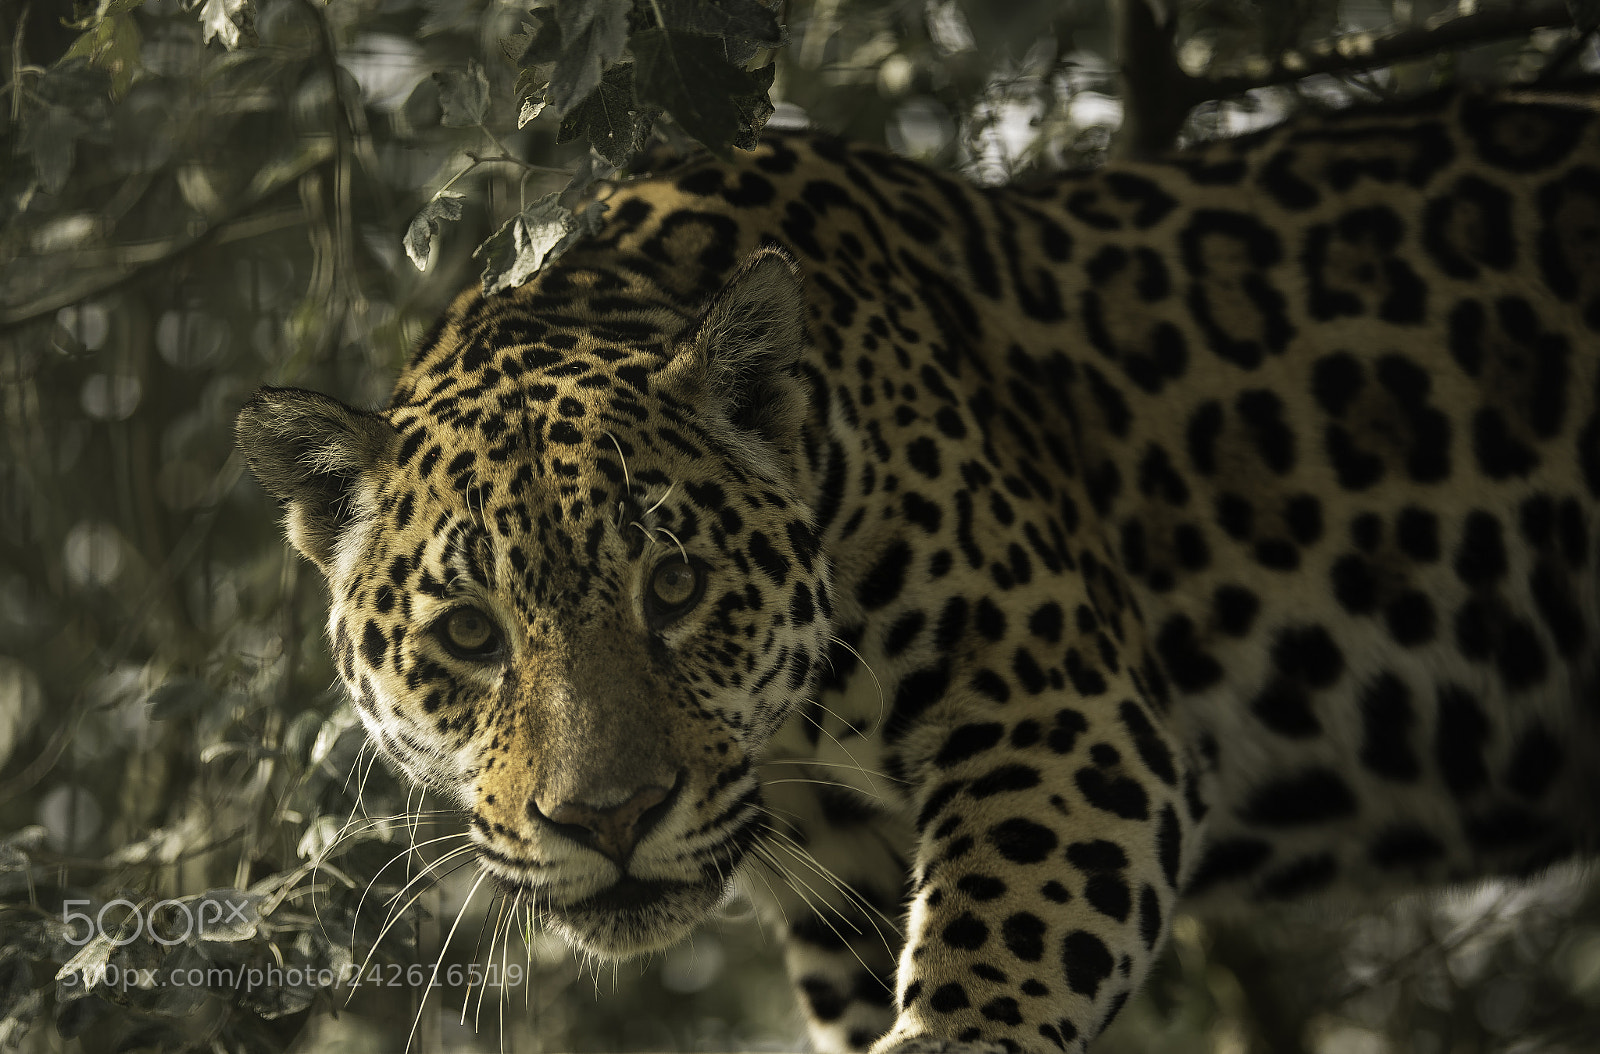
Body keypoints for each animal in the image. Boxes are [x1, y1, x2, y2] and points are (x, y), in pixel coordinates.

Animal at [235, 85, 1600, 1054]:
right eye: (470, 636)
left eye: (674, 590)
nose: (609, 820)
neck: (795, 740)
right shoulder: (843, 895)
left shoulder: (1059, 703)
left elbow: (1003, 928)